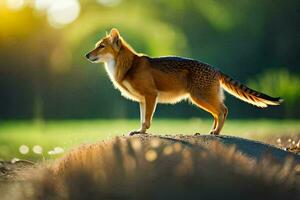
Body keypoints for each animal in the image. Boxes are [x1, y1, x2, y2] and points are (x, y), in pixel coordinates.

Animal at [85, 28, 284, 135]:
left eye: (101, 46)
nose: (86, 55)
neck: (128, 65)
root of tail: (216, 69)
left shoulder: (151, 95)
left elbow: (147, 120)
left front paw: (142, 133)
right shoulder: (142, 100)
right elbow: (142, 120)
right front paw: (139, 132)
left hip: (200, 98)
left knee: (223, 111)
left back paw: (217, 133)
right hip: (203, 99)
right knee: (217, 113)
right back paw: (212, 132)